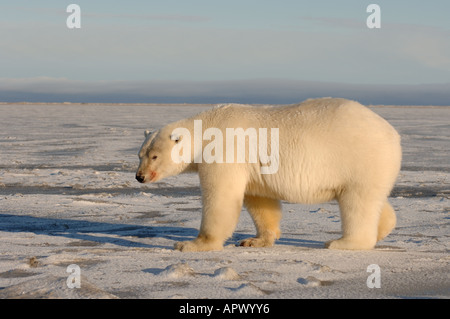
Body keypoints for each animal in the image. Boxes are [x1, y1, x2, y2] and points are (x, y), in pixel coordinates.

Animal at [136, 98, 400, 252]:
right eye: (140, 154)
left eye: (155, 156)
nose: (140, 176)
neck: (207, 126)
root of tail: (393, 134)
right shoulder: (252, 167)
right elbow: (259, 200)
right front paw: (254, 240)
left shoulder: (226, 150)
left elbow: (221, 197)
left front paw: (192, 244)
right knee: (372, 200)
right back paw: (382, 229)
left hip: (359, 158)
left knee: (357, 203)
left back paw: (342, 242)